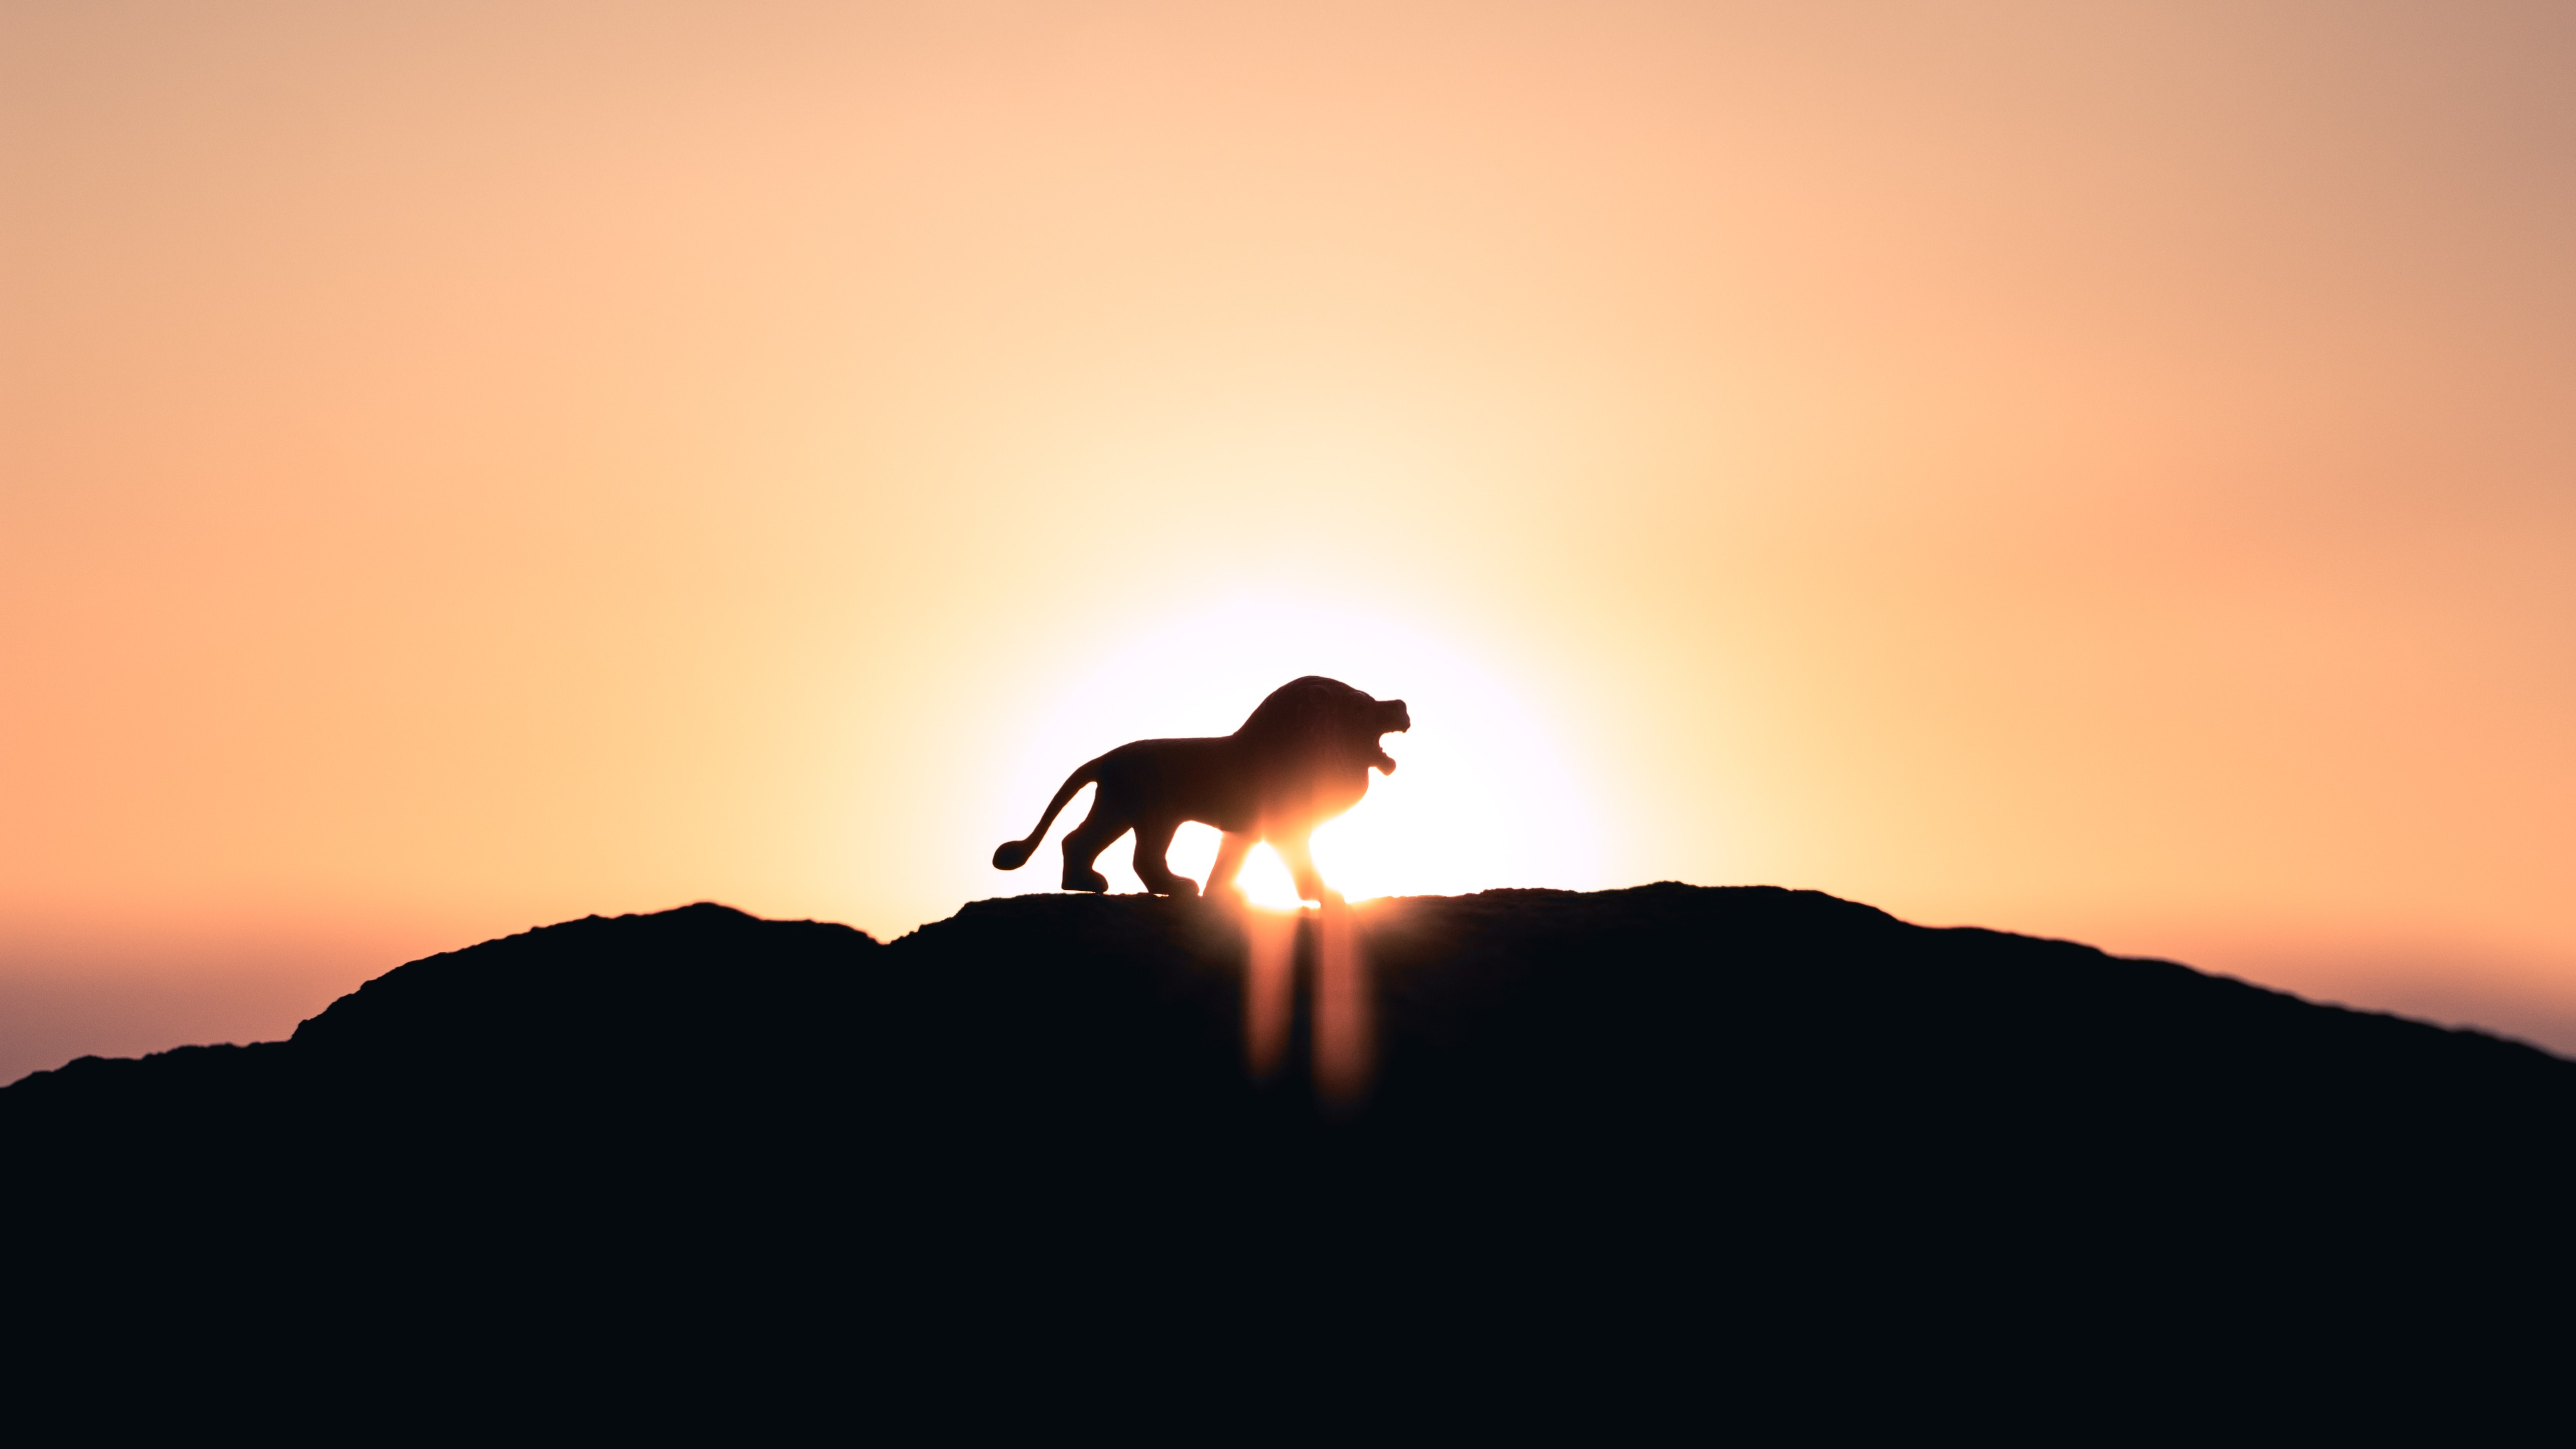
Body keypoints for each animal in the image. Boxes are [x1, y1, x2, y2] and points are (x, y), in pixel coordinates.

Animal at [992, 676, 1410, 904]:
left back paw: (1083, 883)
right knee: (1143, 858)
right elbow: (1301, 863)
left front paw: (1222, 895)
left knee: (1077, 840)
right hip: (1155, 813)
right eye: (1361, 706)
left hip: (1118, 808)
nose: (1402, 704)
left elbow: (1228, 862)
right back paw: (1175, 887)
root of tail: (1105, 757)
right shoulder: (1284, 828)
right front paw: (1323, 895)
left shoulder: (1244, 832)